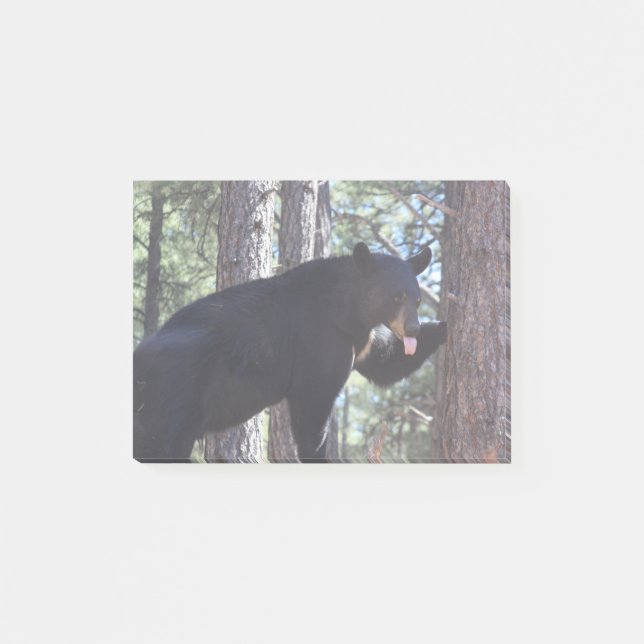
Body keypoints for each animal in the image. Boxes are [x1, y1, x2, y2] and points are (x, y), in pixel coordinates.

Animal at [133, 242, 447, 463]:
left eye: (417, 300)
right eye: (395, 297)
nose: (412, 329)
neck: (348, 311)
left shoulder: (360, 340)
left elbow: (384, 363)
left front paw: (443, 326)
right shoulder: (319, 338)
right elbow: (313, 400)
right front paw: (318, 455)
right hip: (174, 391)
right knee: (159, 442)